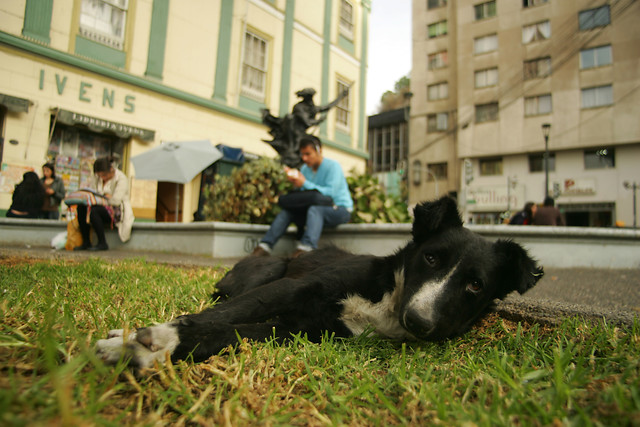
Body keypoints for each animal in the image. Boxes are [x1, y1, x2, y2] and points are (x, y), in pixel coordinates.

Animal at [97, 197, 544, 368]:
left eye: (475, 286)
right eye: (431, 257)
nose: (419, 322)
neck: (386, 300)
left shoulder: (299, 329)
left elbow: (229, 333)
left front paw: (160, 347)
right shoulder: (289, 290)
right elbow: (219, 315)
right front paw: (149, 337)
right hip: (268, 271)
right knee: (224, 297)